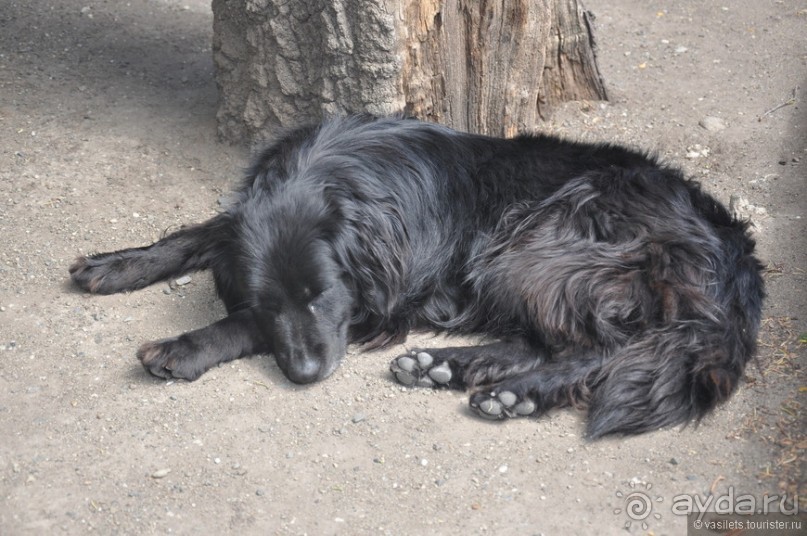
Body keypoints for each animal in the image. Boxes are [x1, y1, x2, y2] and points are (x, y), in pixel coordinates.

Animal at [69, 115, 764, 438]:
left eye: (321, 296)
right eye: (272, 300)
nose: (306, 375)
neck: (336, 176)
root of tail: (733, 244)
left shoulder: (383, 301)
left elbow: (237, 324)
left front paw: (185, 346)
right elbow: (199, 235)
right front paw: (116, 263)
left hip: (537, 243)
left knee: (603, 345)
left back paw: (518, 393)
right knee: (545, 339)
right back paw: (449, 367)